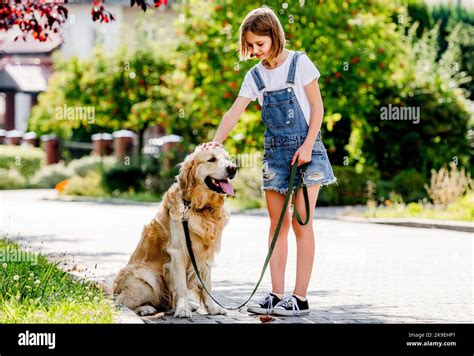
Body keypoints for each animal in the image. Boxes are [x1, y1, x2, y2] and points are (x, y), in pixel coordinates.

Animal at [111, 145, 237, 318]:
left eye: (227, 159)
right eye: (211, 159)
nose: (233, 168)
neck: (199, 208)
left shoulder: (205, 255)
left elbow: (207, 286)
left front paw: (212, 308)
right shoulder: (177, 253)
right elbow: (182, 286)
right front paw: (183, 309)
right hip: (147, 277)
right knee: (121, 302)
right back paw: (145, 308)